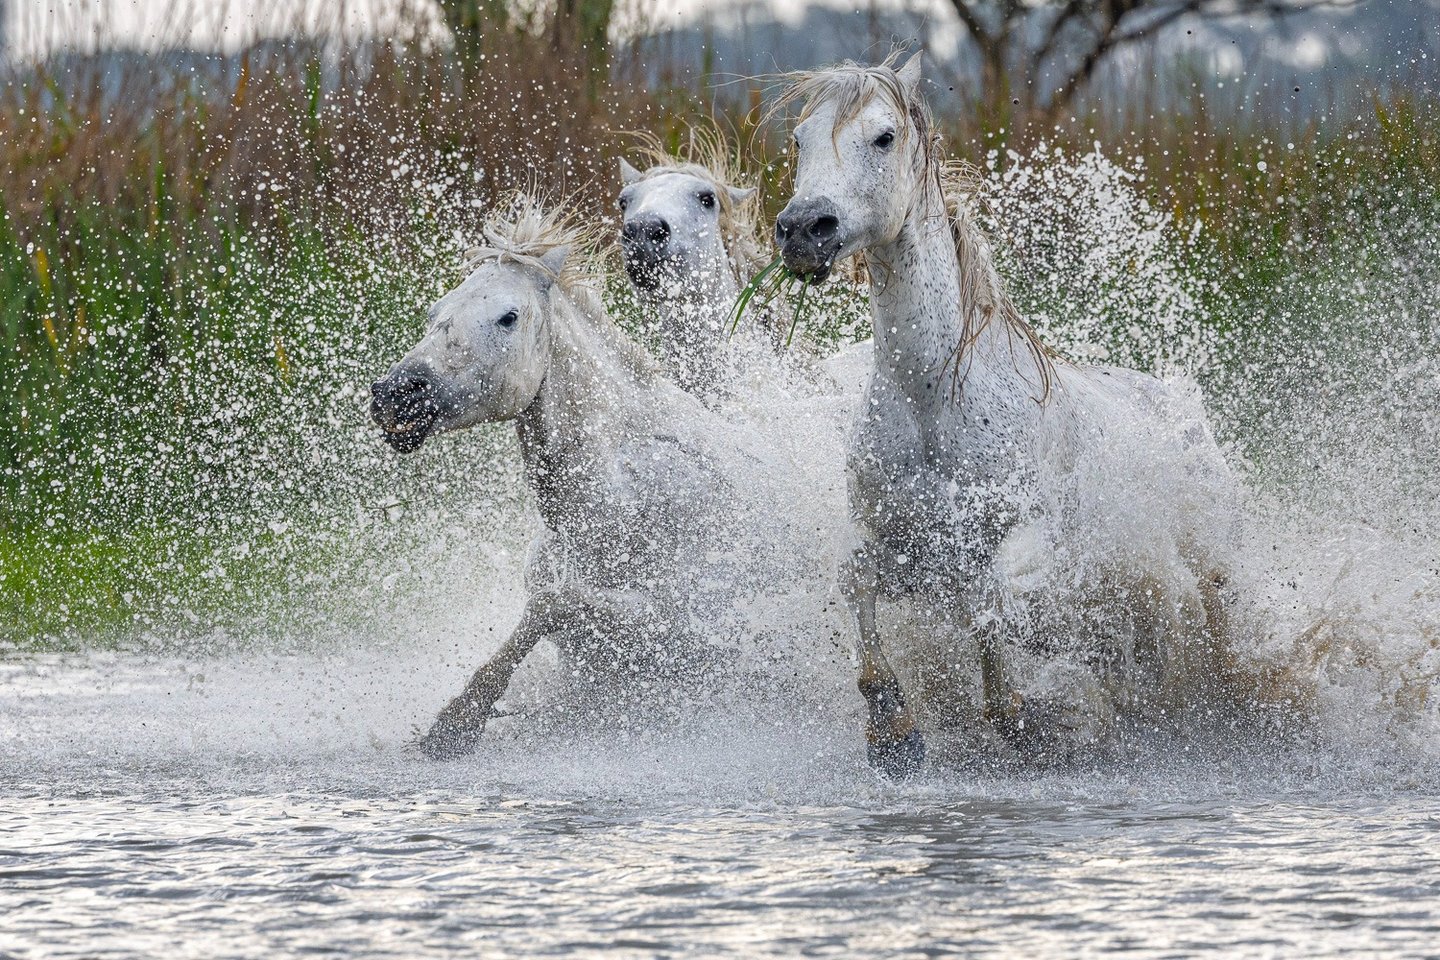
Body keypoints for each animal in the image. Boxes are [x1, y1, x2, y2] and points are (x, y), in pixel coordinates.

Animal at [369, 198, 840, 759]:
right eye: (434, 312)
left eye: (508, 316)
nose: (395, 393)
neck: (624, 505)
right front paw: (457, 721)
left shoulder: (702, 630)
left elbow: (558, 603)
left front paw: (459, 722)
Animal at [772, 52, 1259, 777]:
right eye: (800, 139)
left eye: (884, 136)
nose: (805, 230)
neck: (934, 403)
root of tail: (1187, 413)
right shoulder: (903, 544)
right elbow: (857, 579)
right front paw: (893, 732)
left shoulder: (1012, 550)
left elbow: (992, 608)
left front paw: (1024, 719)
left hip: (1211, 574)